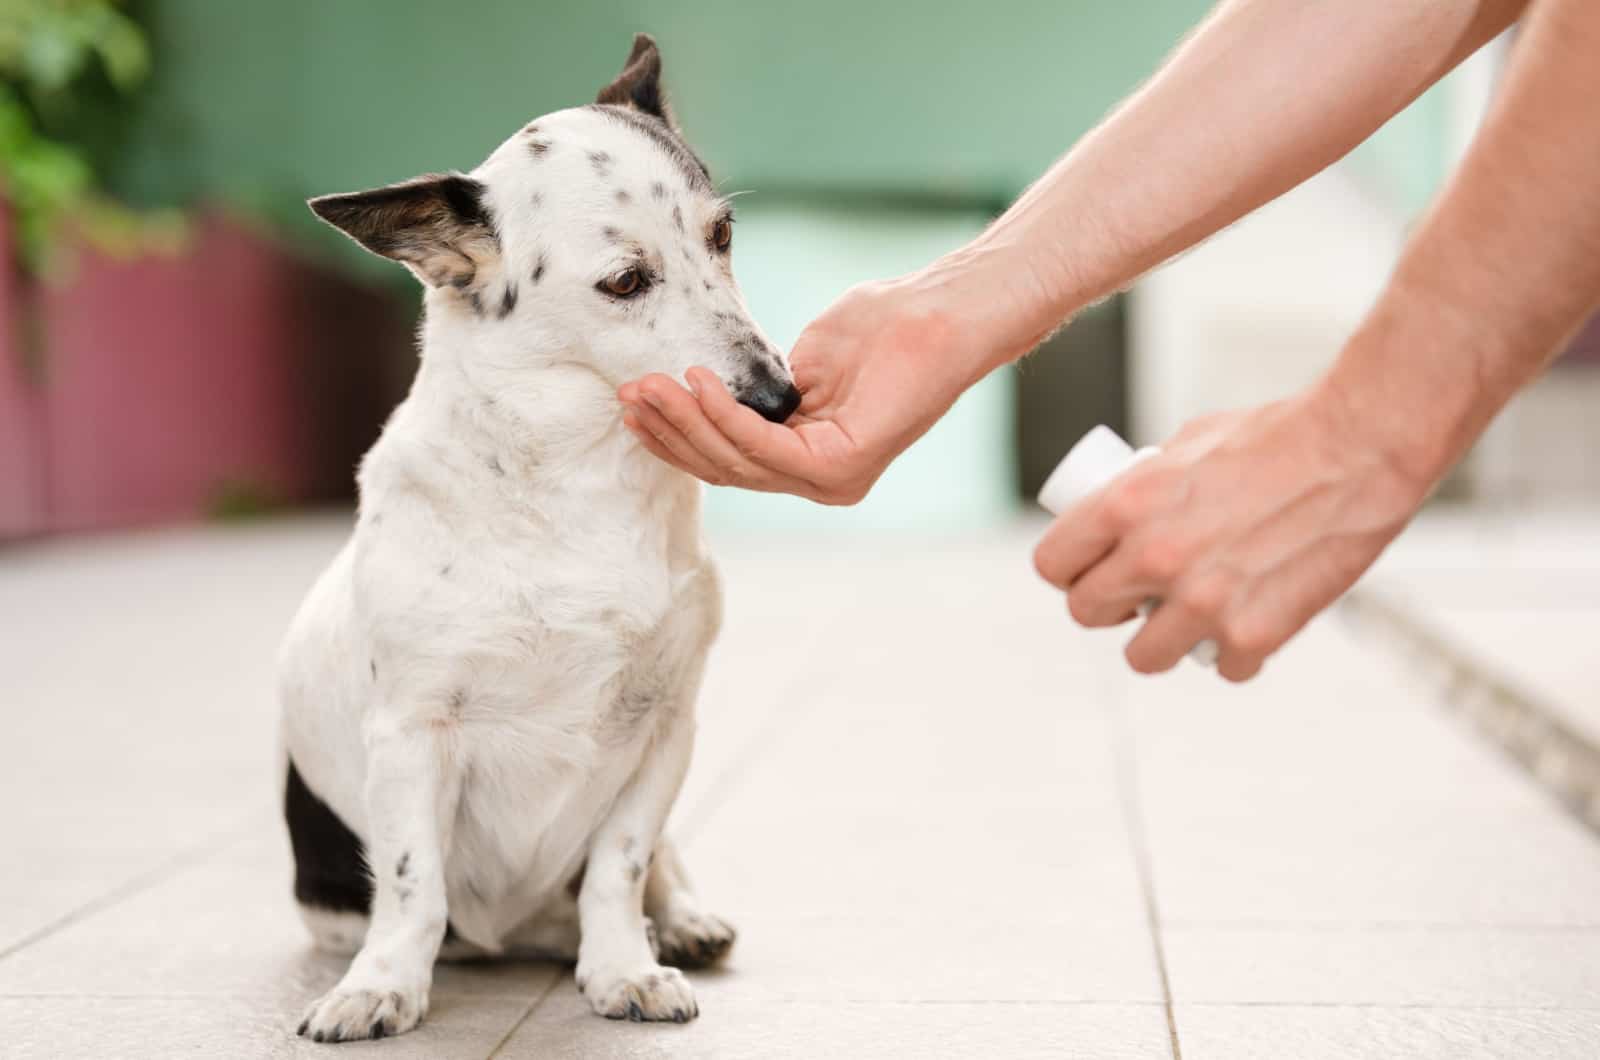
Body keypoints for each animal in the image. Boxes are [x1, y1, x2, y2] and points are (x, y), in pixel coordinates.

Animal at [280, 35, 800, 1043]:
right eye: (625, 282)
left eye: (722, 236)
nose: (779, 399)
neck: (578, 485)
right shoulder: (410, 737)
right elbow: (412, 888)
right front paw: (383, 985)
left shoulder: (663, 730)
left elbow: (622, 866)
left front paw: (623, 966)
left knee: (655, 867)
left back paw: (679, 923)